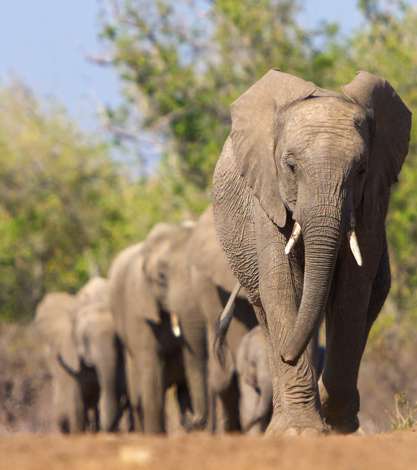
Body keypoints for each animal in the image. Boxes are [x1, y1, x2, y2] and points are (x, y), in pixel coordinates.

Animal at [106, 224, 206, 434]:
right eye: (161, 278)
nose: (193, 419)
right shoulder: (139, 310)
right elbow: (152, 381)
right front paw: (157, 436)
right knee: (138, 399)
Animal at [213, 68, 412, 436]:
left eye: (361, 170)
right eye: (290, 166)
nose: (288, 356)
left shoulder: (372, 203)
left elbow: (351, 291)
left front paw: (336, 424)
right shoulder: (267, 198)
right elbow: (283, 286)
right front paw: (302, 432)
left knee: (370, 298)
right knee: (266, 310)